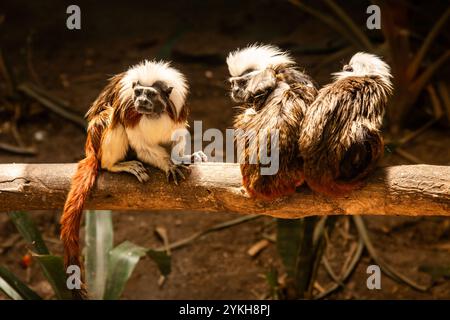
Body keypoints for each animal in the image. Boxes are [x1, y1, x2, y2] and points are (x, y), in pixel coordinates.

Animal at [60, 59, 207, 298]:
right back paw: (118, 165)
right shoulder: (130, 112)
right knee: (110, 118)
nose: (141, 101)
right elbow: (141, 145)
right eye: (138, 93)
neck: (154, 114)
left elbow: (178, 135)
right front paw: (168, 165)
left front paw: (184, 157)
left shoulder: (176, 113)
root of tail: (91, 147)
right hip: (99, 144)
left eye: (151, 94)